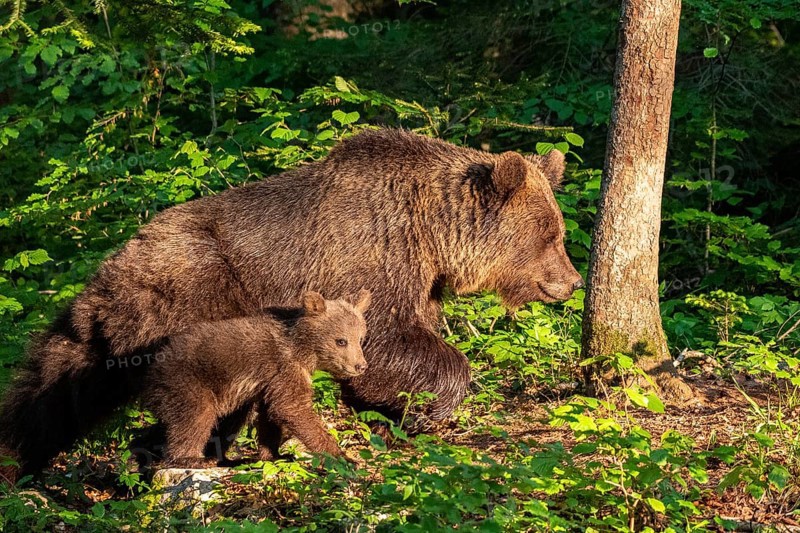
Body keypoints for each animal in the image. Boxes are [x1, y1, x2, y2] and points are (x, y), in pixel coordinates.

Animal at [145, 290, 370, 468]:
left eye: (360, 338)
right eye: (341, 341)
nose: (360, 366)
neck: (301, 349)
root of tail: (155, 363)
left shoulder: (269, 382)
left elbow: (270, 415)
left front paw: (275, 454)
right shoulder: (284, 368)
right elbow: (291, 407)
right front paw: (343, 457)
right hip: (189, 381)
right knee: (195, 418)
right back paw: (192, 458)